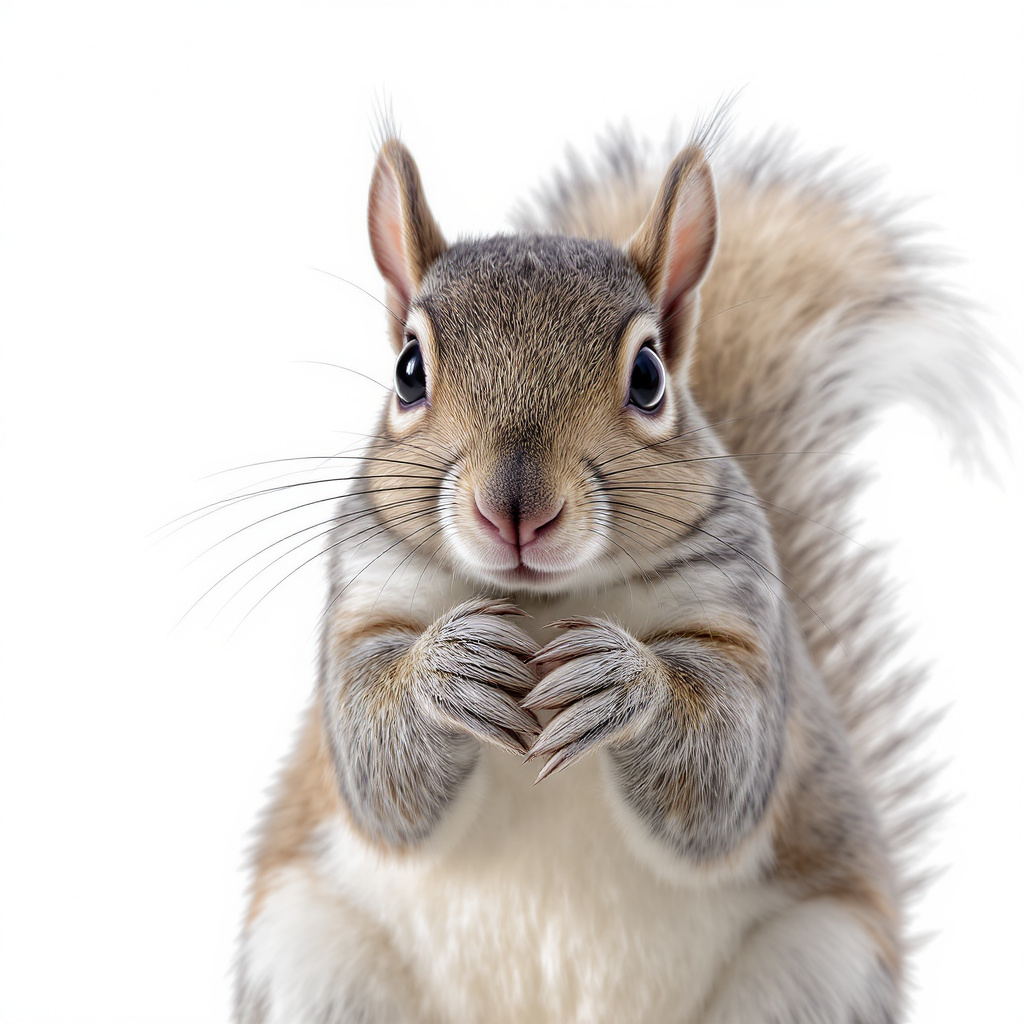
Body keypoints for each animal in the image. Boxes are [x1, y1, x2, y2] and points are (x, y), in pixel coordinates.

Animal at [233, 120, 990, 1023]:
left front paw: (622, 680)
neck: (543, 600)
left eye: (649, 376)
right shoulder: (363, 605)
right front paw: (447, 668)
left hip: (817, 968)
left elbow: (724, 767)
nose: (514, 509)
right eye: (408, 370)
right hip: (311, 960)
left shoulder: (745, 622)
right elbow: (377, 767)